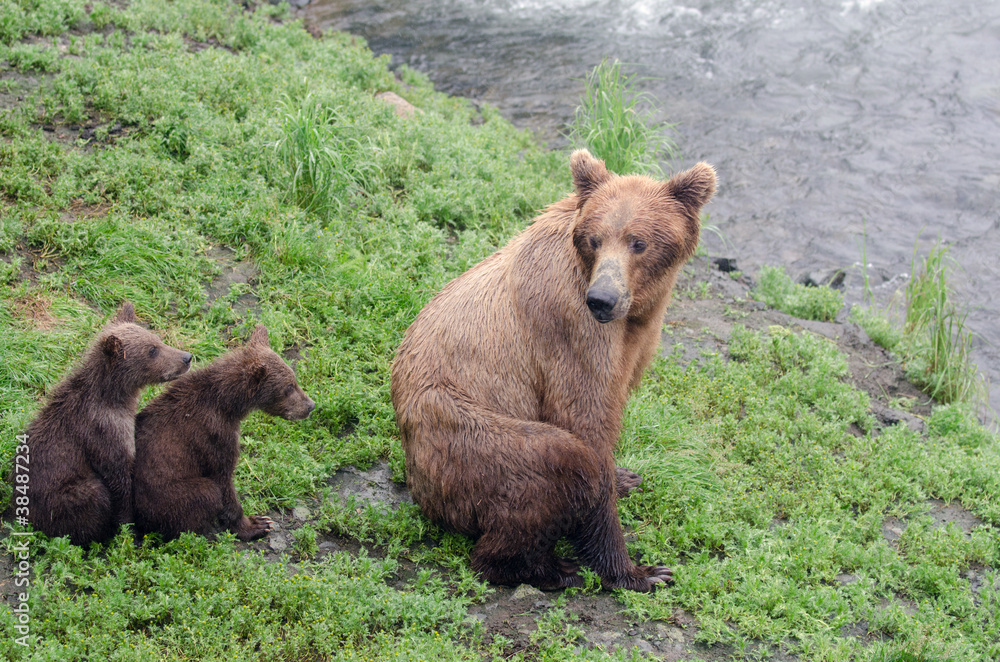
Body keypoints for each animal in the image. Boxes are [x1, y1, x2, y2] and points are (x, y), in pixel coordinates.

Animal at [17, 302, 192, 546]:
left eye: (157, 340)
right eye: (152, 350)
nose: (187, 357)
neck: (114, 398)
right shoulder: (103, 432)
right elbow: (119, 480)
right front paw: (129, 532)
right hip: (59, 496)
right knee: (90, 496)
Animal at [132, 324, 315, 542]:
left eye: (294, 380)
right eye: (288, 387)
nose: (310, 406)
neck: (227, 405)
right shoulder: (213, 435)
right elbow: (223, 480)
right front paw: (257, 524)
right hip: (163, 496)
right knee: (205, 492)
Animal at [391, 149, 716, 591]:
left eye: (639, 242)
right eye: (596, 239)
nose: (602, 299)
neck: (634, 310)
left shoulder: (638, 337)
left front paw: (625, 476)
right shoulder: (570, 325)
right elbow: (585, 422)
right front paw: (639, 571)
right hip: (468, 441)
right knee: (560, 462)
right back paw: (549, 569)